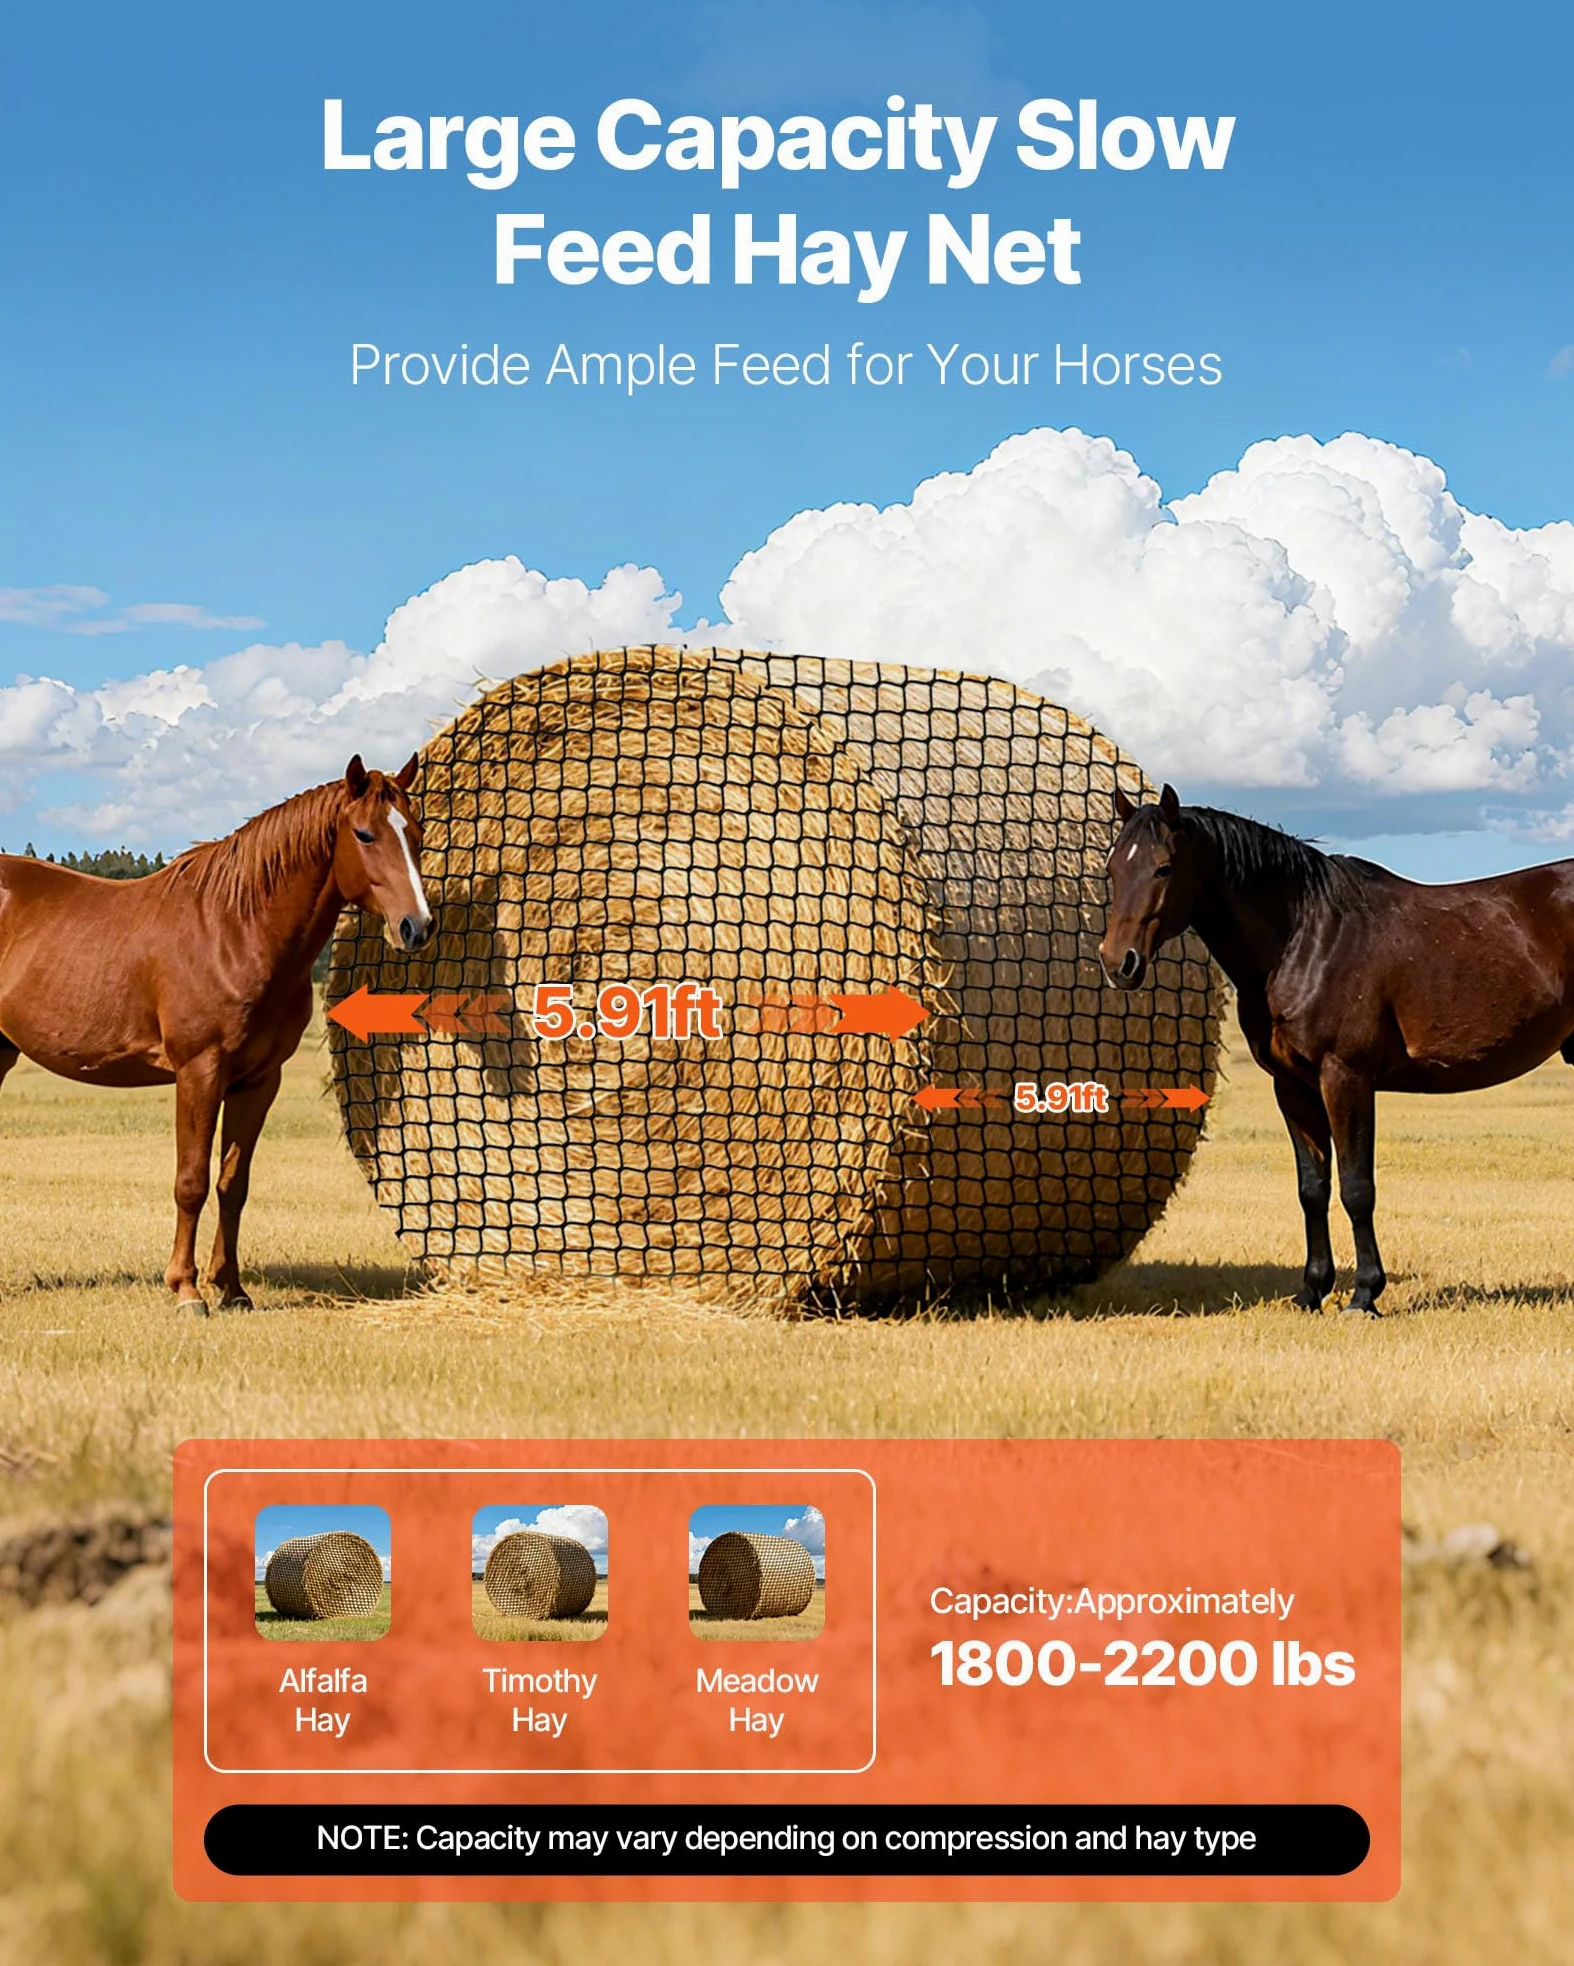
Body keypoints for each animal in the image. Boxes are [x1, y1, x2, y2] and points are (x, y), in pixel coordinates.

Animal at [0, 755, 432, 1313]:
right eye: (364, 834)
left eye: (417, 833)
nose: (416, 927)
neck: (233, 930)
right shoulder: (199, 1071)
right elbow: (191, 1182)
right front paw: (186, 1290)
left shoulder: (258, 1081)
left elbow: (233, 1183)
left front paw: (230, 1288)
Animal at [1099, 783, 1574, 1315]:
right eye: (1112, 869)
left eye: (1163, 868)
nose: (1118, 963)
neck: (1307, 939)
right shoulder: (1292, 1087)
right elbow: (1313, 1187)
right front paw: (1312, 1289)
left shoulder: (1345, 1077)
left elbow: (1355, 1187)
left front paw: (1364, 1293)